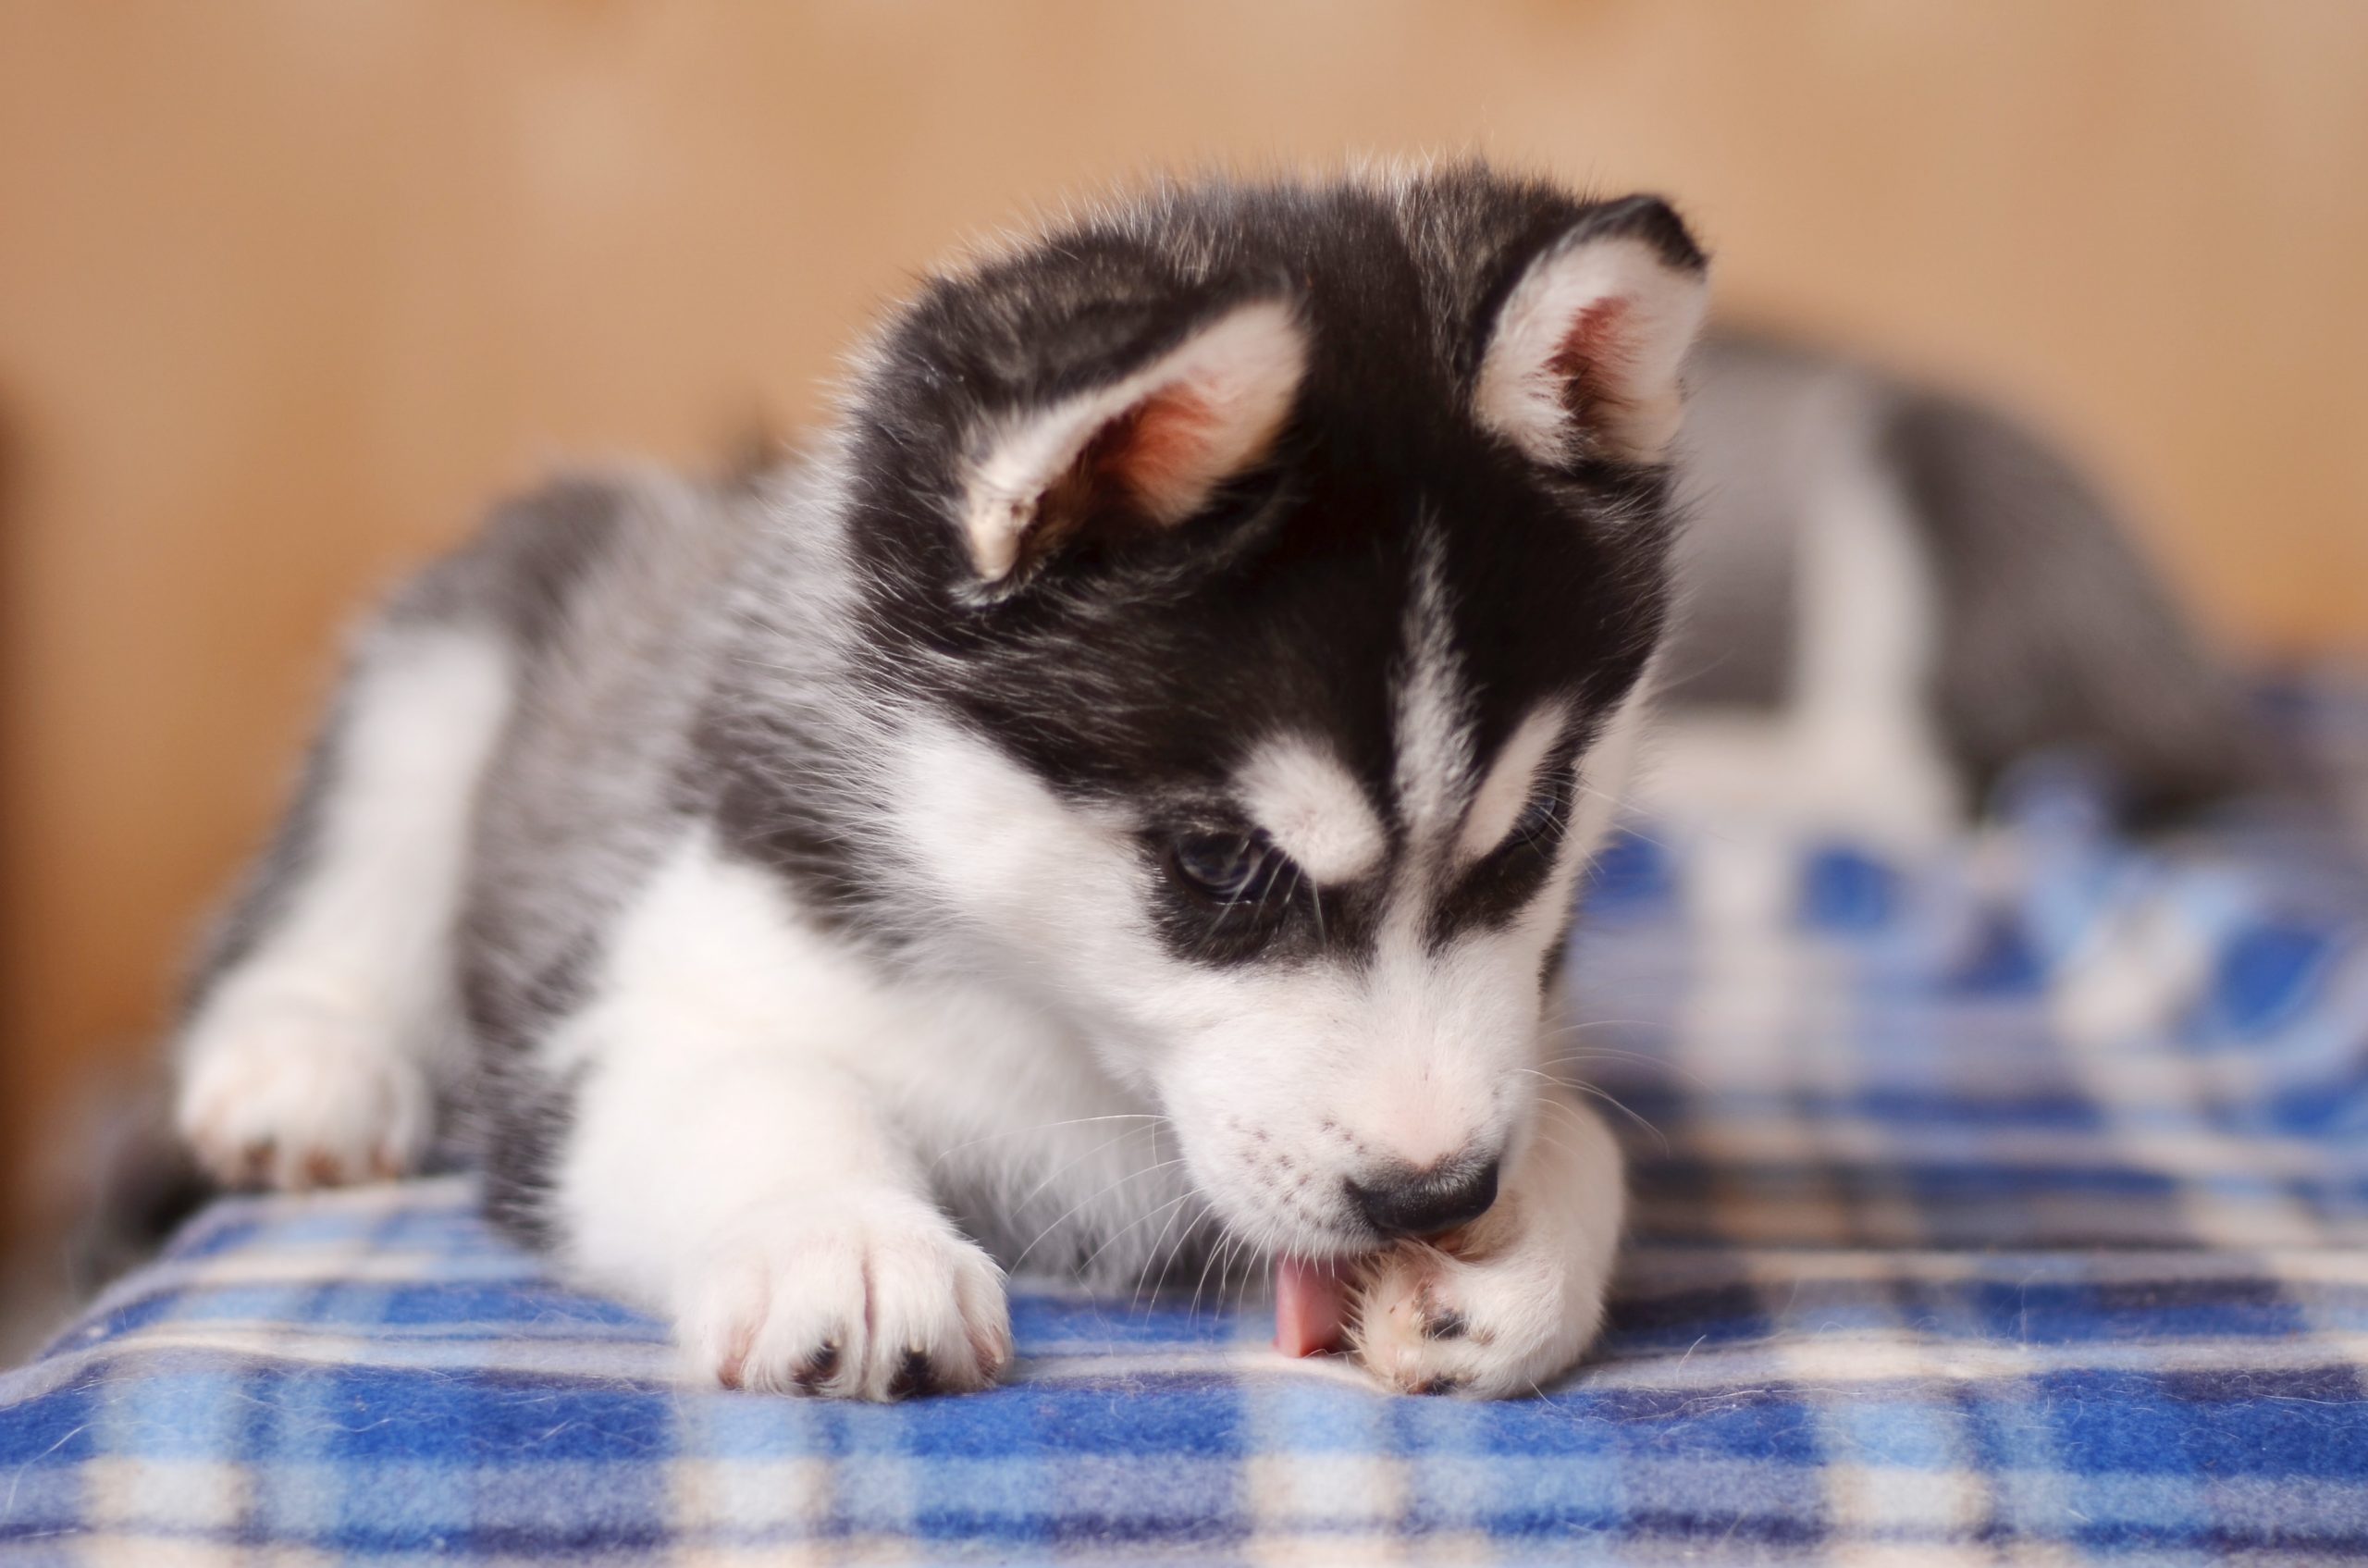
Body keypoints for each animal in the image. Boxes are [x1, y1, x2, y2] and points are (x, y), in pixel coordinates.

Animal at [175, 169, 1714, 1401]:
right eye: (1219, 863)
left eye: (1540, 827)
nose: (1439, 1189)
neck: (1050, 1026)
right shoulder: (631, 993)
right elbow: (752, 1087)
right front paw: (841, 1236)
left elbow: (1588, 1131)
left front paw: (1522, 1250)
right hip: (462, 644)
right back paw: (306, 1057)